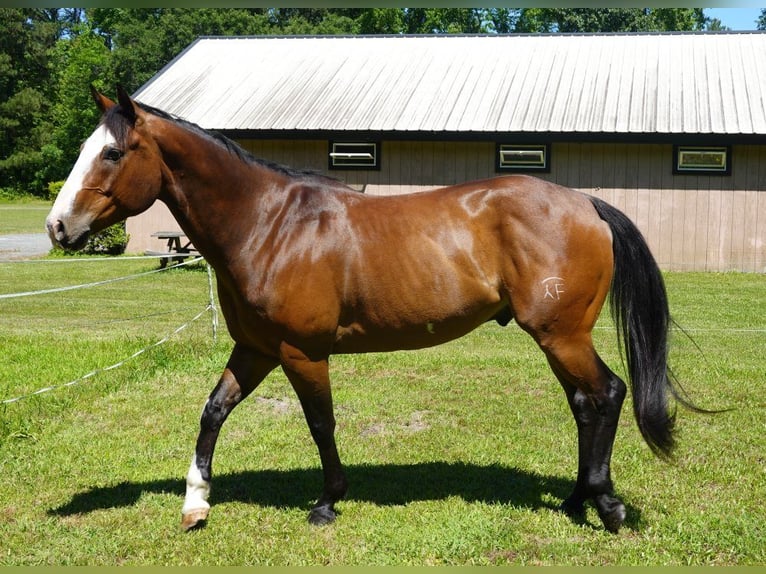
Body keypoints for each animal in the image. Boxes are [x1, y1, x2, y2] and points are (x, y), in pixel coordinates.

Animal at [47, 85, 690, 534]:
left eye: (111, 152)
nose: (57, 228)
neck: (269, 224)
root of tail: (585, 203)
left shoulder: (301, 352)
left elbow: (320, 423)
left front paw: (328, 501)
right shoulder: (255, 348)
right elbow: (213, 411)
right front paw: (195, 502)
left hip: (562, 335)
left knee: (606, 394)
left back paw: (607, 505)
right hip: (558, 338)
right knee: (585, 404)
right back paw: (576, 498)